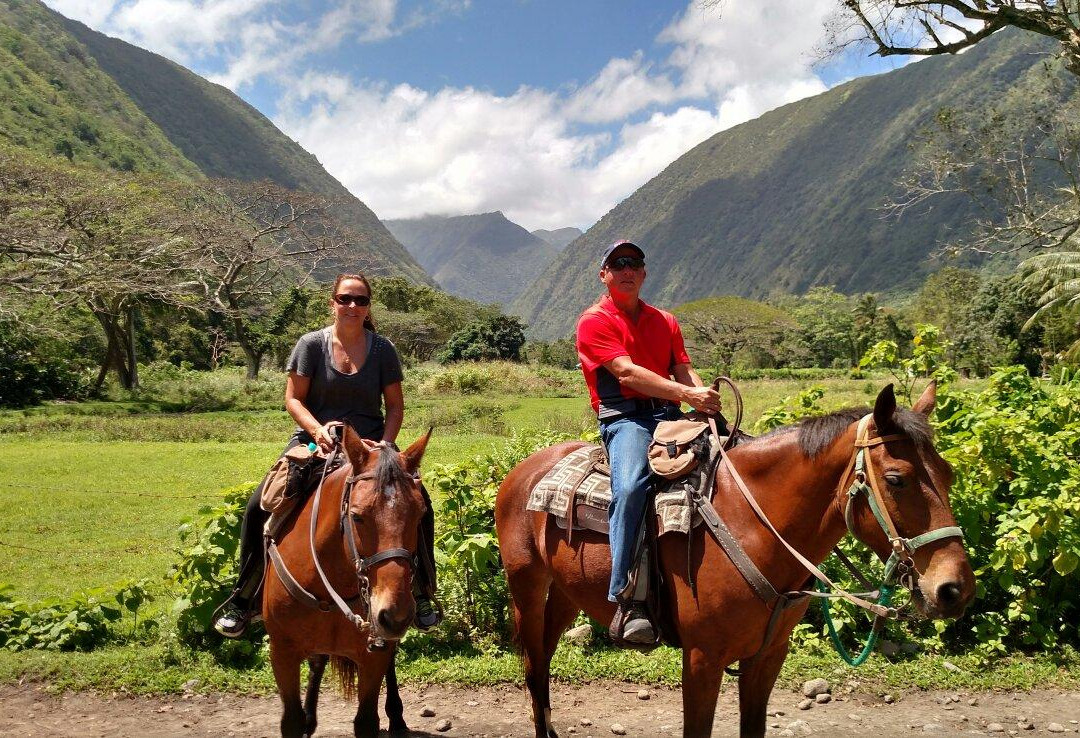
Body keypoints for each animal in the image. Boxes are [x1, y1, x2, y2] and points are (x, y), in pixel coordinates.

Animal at [262, 427, 429, 738]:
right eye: (357, 516)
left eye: (420, 514)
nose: (395, 614)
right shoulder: (282, 653)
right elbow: (290, 722)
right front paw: (303, 719)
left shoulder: (372, 657)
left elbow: (366, 721)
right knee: (317, 661)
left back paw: (397, 717)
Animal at [496, 384, 980, 734]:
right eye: (897, 479)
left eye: (949, 474)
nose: (954, 589)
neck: (752, 524)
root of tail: (525, 469)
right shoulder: (702, 659)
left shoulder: (767, 657)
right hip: (526, 588)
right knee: (534, 668)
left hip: (566, 593)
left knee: (544, 661)